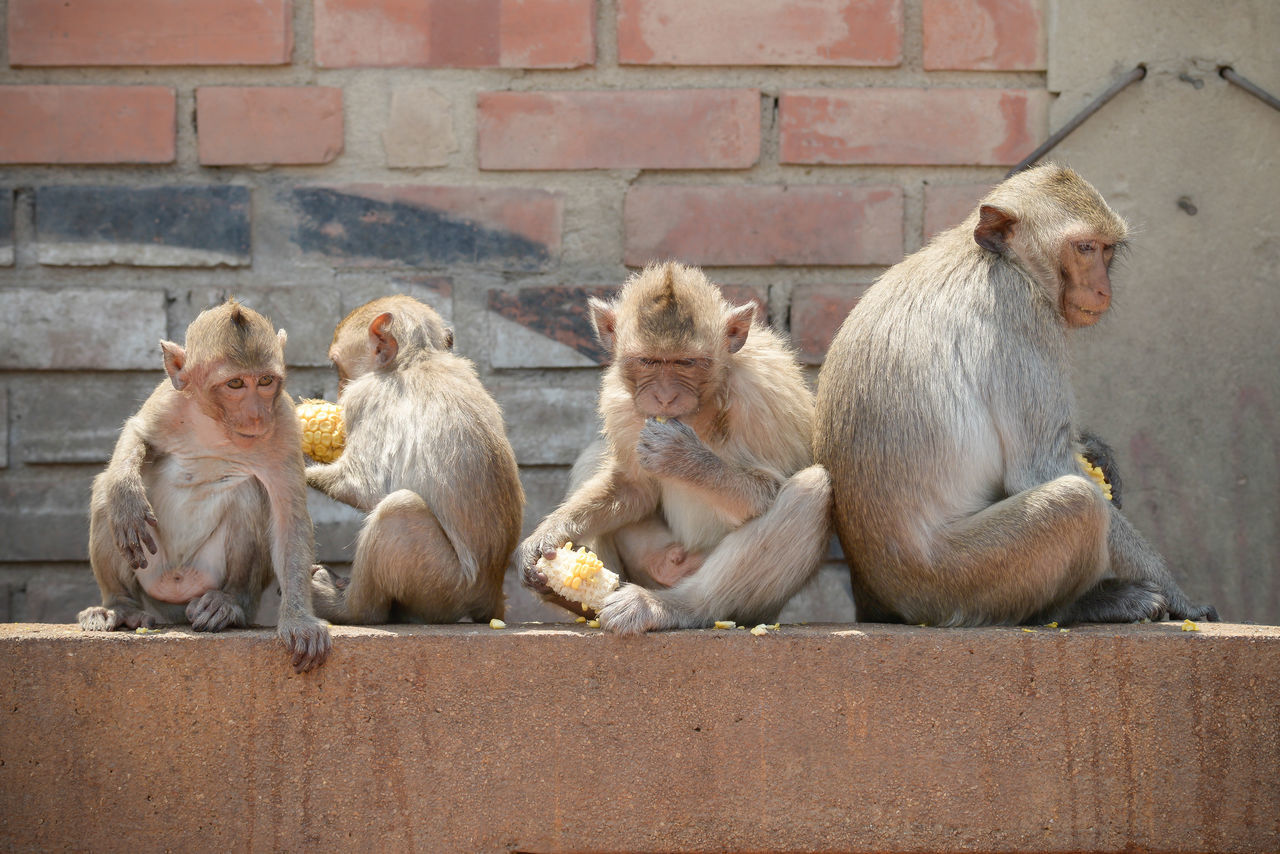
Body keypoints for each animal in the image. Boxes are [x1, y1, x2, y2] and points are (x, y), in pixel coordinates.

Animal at [77, 300, 330, 676]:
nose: (257, 415)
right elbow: (138, 433)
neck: (217, 424)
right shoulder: (169, 399)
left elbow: (289, 518)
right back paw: (120, 606)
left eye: (265, 381)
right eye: (235, 383)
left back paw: (228, 603)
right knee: (105, 496)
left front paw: (300, 620)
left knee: (248, 494)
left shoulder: (283, 423)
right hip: (151, 579)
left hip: (207, 573)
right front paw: (126, 493)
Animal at [305, 297, 524, 624]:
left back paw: (350, 608)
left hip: (443, 585)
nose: (339, 390)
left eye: (337, 367)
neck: (416, 359)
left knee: (399, 508)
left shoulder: (367, 397)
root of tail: (491, 591)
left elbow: (361, 487)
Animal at [517, 262, 829, 635]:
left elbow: (768, 491)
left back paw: (668, 606)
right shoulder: (621, 404)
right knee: (594, 456)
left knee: (811, 490)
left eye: (686, 363)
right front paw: (549, 535)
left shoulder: (761, 398)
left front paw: (683, 458)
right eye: (648, 361)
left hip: (750, 604)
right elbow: (634, 488)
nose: (665, 397)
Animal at [814, 161, 1213, 627]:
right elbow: (1041, 468)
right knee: (1075, 503)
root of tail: (877, 598)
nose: (1102, 289)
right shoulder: (1022, 313)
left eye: (1107, 250)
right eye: (1084, 248)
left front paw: (1097, 450)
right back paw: (1082, 605)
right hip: (956, 582)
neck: (997, 258)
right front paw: (1180, 596)